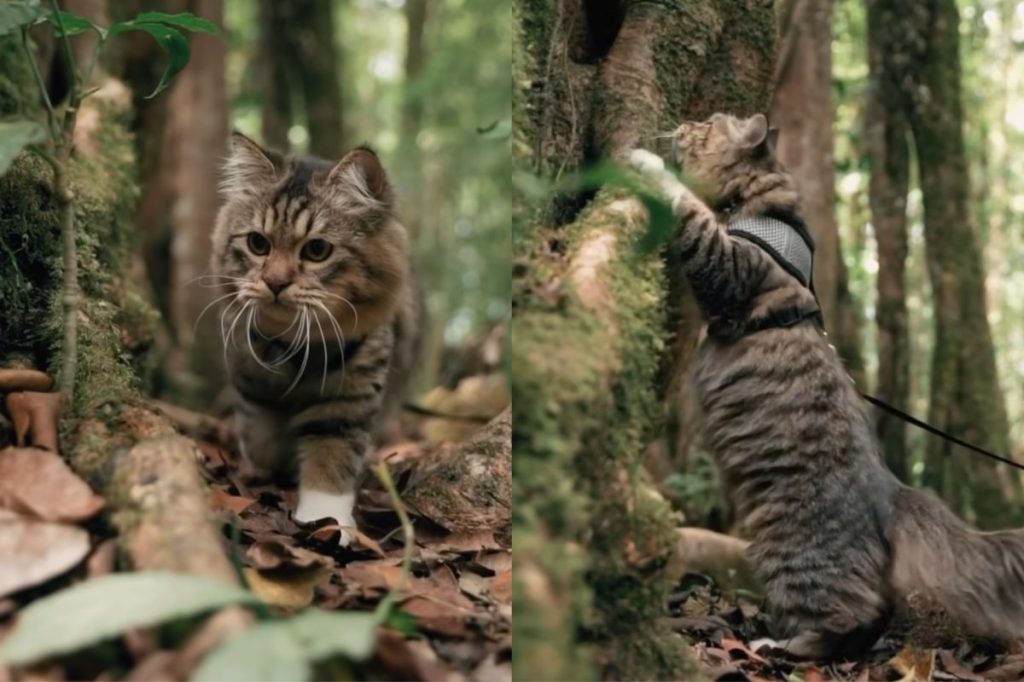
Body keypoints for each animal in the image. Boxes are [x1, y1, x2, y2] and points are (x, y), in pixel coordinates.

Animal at [209, 134, 417, 548]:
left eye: (317, 250)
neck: (291, 348)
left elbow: (330, 461)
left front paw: (325, 521)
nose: (275, 282)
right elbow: (260, 439)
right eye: (258, 244)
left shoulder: (346, 401)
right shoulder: (250, 385)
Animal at [626, 112, 1024, 659]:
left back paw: (779, 645)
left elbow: (688, 209)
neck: (756, 203)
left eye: (706, 124)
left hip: (791, 554)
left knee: (845, 618)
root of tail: (891, 490)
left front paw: (646, 163)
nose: (684, 122)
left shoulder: (729, 265)